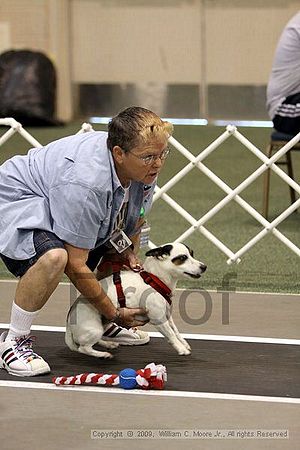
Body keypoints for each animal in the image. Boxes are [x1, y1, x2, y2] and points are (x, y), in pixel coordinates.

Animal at [65, 244, 206, 356]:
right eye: (182, 258)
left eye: (192, 254)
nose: (204, 266)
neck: (155, 279)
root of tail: (69, 320)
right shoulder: (159, 319)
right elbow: (170, 334)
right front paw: (181, 348)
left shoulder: (167, 316)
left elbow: (175, 331)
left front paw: (183, 343)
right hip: (95, 329)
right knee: (84, 348)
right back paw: (103, 354)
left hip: (104, 322)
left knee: (96, 340)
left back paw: (108, 344)